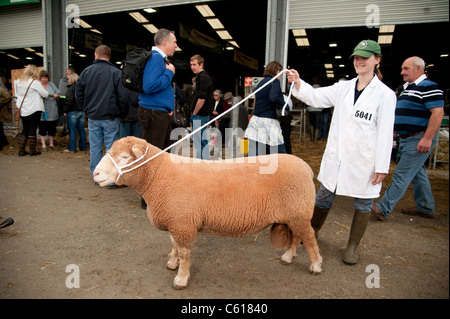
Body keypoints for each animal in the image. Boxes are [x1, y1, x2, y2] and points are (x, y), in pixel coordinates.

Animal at [94, 136, 320, 292]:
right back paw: (288, 257)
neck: (158, 176)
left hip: (299, 212)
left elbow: (184, 252)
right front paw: (172, 263)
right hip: (294, 214)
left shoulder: (183, 223)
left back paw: (316, 265)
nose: (95, 173)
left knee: (309, 238)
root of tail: (306, 167)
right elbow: (173, 244)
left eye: (124, 157)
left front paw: (181, 279)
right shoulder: (176, 220)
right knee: (297, 236)